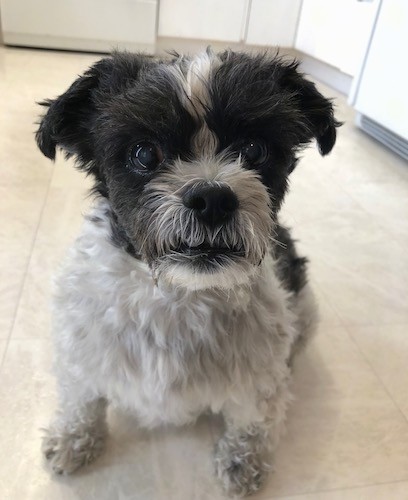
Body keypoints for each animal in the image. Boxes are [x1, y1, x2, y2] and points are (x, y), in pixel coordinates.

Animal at [37, 49, 338, 496]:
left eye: (254, 150)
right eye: (145, 154)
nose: (213, 198)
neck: (178, 295)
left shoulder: (259, 375)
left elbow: (254, 419)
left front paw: (242, 461)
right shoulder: (85, 347)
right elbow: (81, 397)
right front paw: (75, 438)